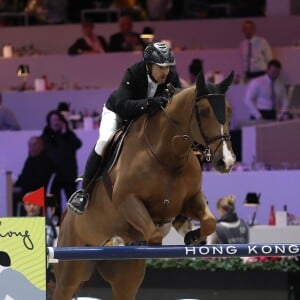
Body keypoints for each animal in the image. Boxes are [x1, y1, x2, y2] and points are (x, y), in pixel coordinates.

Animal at [54, 71, 237, 300]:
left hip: (124, 280)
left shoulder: (190, 200)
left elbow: (210, 221)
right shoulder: (127, 201)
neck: (168, 156)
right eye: (203, 112)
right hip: (70, 271)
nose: (226, 161)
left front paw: (192, 235)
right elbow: (154, 236)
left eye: (229, 110)